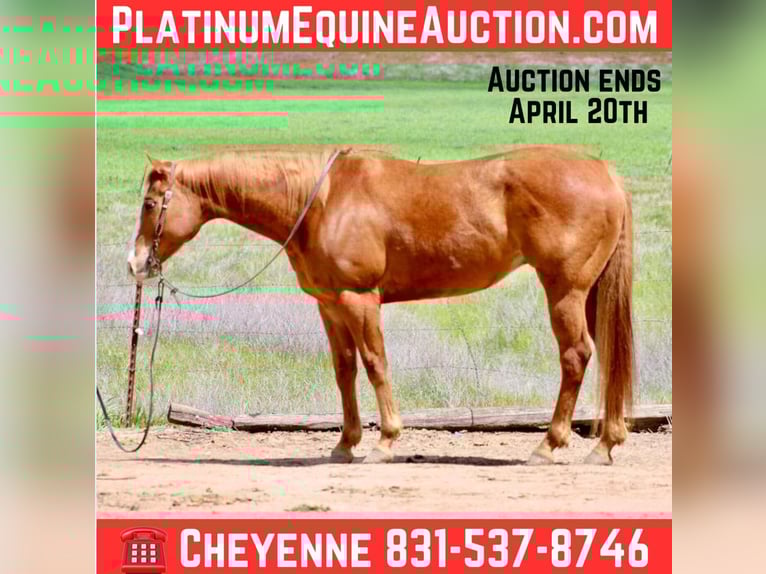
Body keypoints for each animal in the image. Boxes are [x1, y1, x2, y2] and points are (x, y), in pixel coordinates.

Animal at [127, 146, 634, 465]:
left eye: (151, 204)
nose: (135, 263)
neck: (321, 201)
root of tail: (605, 172)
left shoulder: (361, 300)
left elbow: (375, 365)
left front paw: (385, 442)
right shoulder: (330, 305)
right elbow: (345, 370)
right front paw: (345, 444)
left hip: (565, 290)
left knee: (576, 356)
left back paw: (549, 445)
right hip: (591, 292)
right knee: (607, 357)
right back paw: (605, 444)